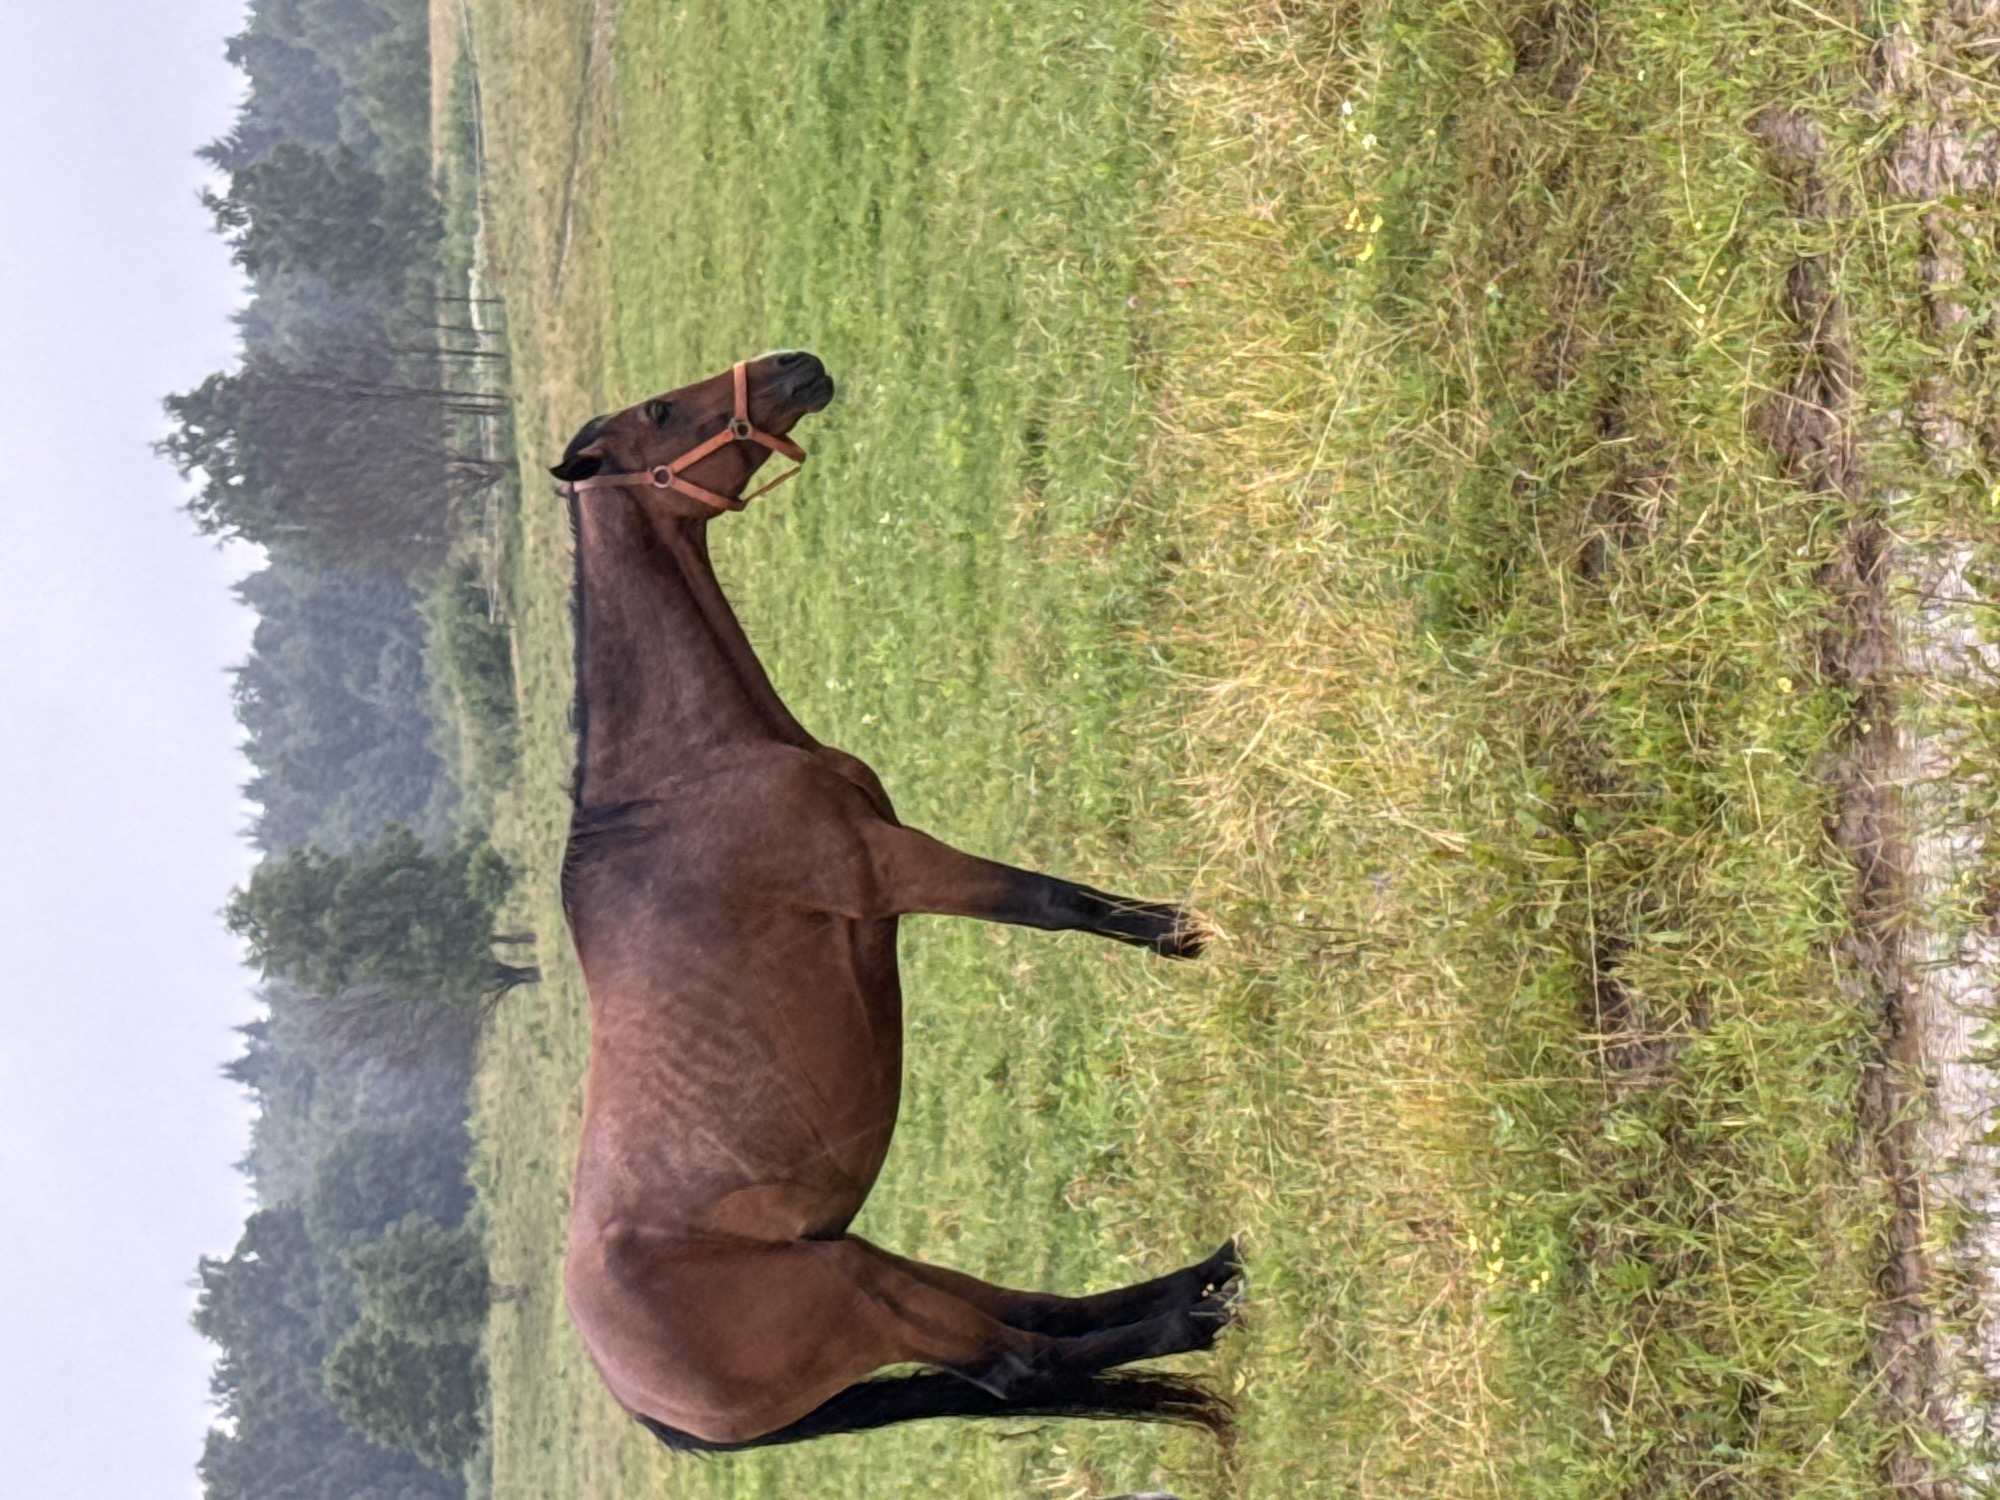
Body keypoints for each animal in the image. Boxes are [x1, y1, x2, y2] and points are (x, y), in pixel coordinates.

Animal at [549, 350, 1240, 1451]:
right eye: (659, 411)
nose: (794, 365)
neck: (682, 776)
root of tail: (644, 1404)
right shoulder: (889, 869)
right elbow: (1051, 903)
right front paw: (1183, 930)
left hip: (866, 1261)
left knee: (1035, 1314)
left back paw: (1213, 1274)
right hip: (854, 1296)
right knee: (1021, 1362)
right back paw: (1198, 1314)